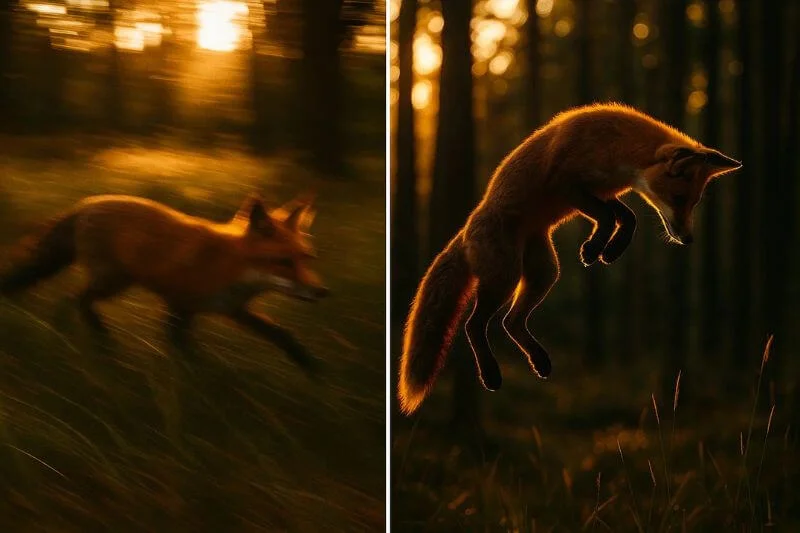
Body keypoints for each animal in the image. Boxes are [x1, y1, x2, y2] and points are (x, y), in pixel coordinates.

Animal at [0, 192, 329, 374]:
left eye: (307, 258)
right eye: (283, 262)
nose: (322, 291)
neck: (227, 267)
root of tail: (86, 203)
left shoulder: (232, 310)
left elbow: (281, 334)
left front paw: (310, 366)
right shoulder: (177, 306)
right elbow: (184, 349)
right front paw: (198, 376)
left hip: (114, 281)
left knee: (69, 300)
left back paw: (75, 333)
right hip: (113, 281)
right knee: (76, 298)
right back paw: (100, 337)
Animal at [398, 103, 742, 415]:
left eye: (694, 202)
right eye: (679, 198)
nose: (688, 239)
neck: (617, 149)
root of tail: (466, 230)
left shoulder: (600, 192)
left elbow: (627, 218)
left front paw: (609, 250)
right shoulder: (566, 185)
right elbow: (609, 217)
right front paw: (595, 248)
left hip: (545, 273)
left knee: (511, 321)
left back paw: (539, 361)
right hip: (505, 275)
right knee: (475, 324)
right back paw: (491, 374)